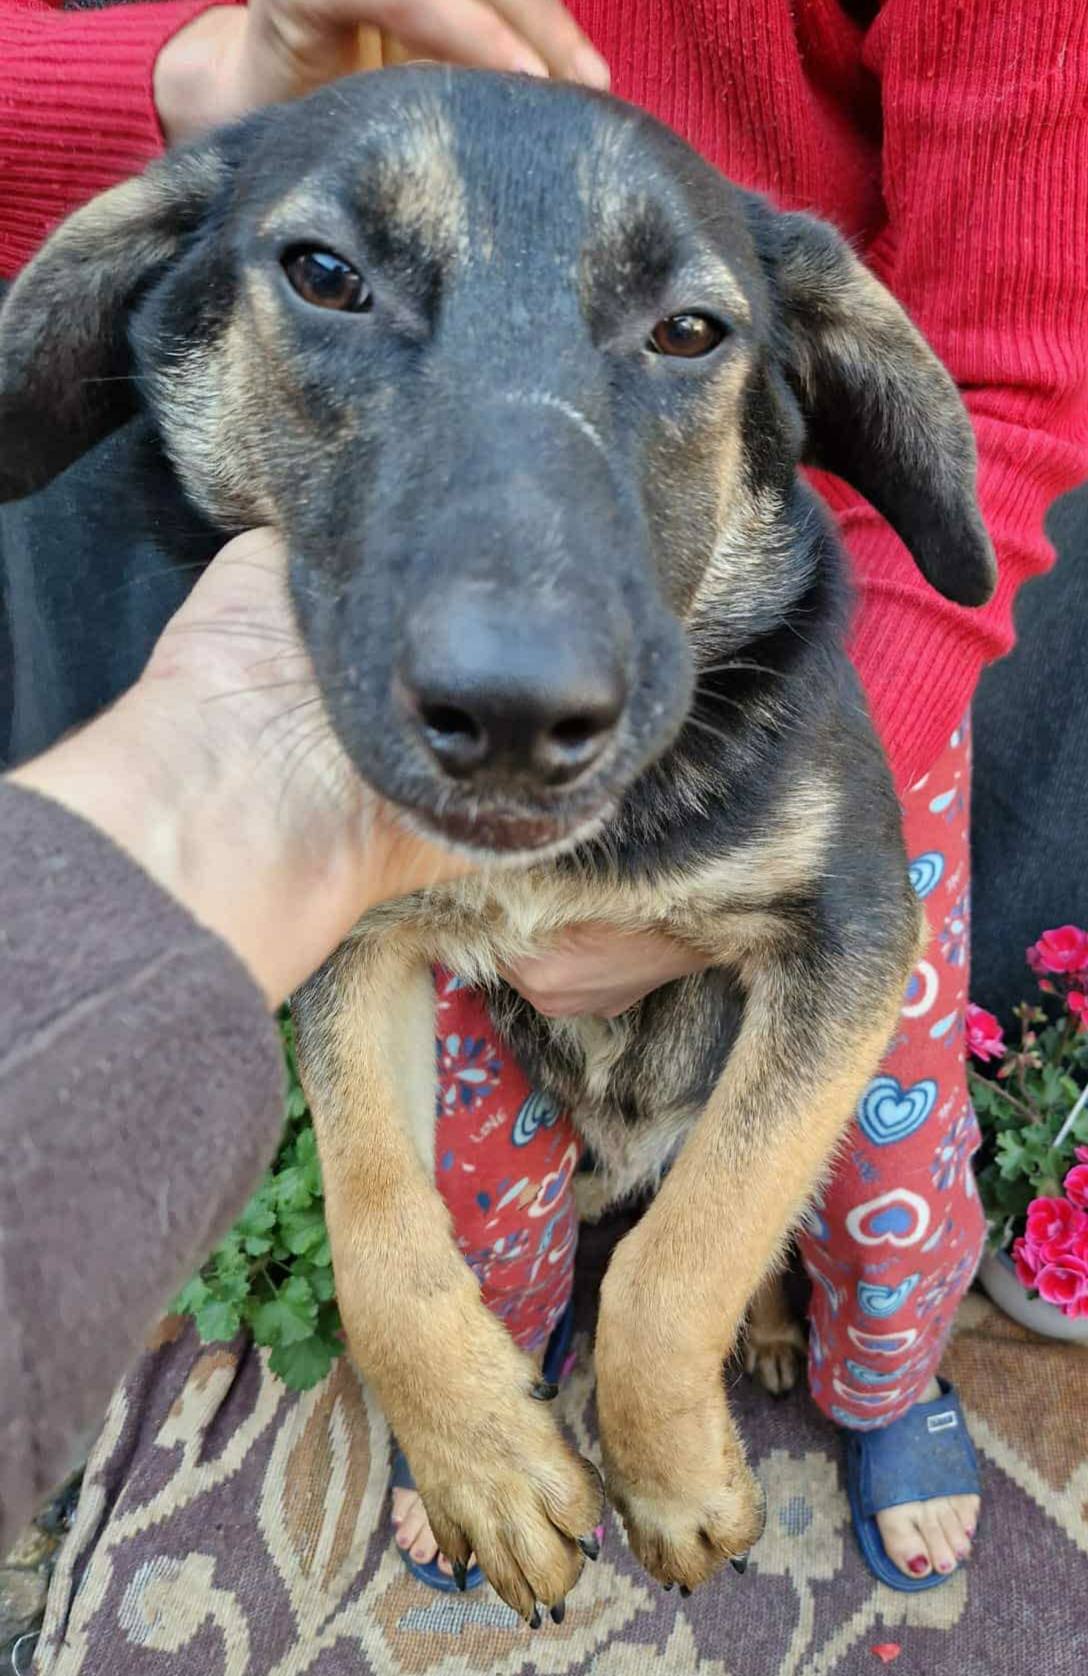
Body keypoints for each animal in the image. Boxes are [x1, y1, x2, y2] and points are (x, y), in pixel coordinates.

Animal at [0, 67, 995, 1623]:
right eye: (324, 274)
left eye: (690, 331)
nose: (520, 712)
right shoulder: (357, 956)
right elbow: (377, 1233)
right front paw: (485, 1463)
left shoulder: (849, 937)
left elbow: (694, 1241)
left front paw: (678, 1475)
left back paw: (788, 1334)